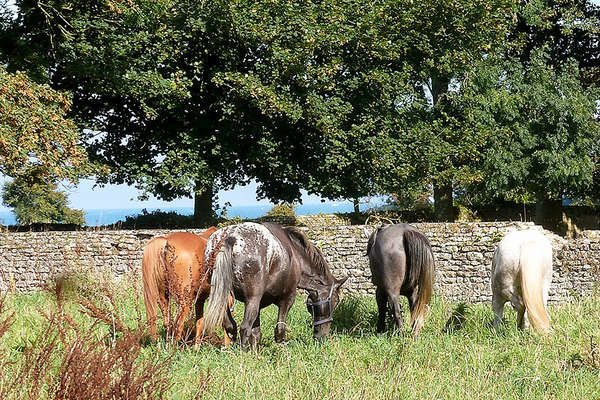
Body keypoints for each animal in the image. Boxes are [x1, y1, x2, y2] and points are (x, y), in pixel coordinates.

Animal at [202, 222, 346, 350]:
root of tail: (230, 237)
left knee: (230, 325)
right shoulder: (287, 299)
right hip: (252, 299)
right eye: (334, 303)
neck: (296, 256)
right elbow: (280, 330)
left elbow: (256, 333)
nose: (322, 337)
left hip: (223, 296)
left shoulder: (258, 305)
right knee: (244, 328)